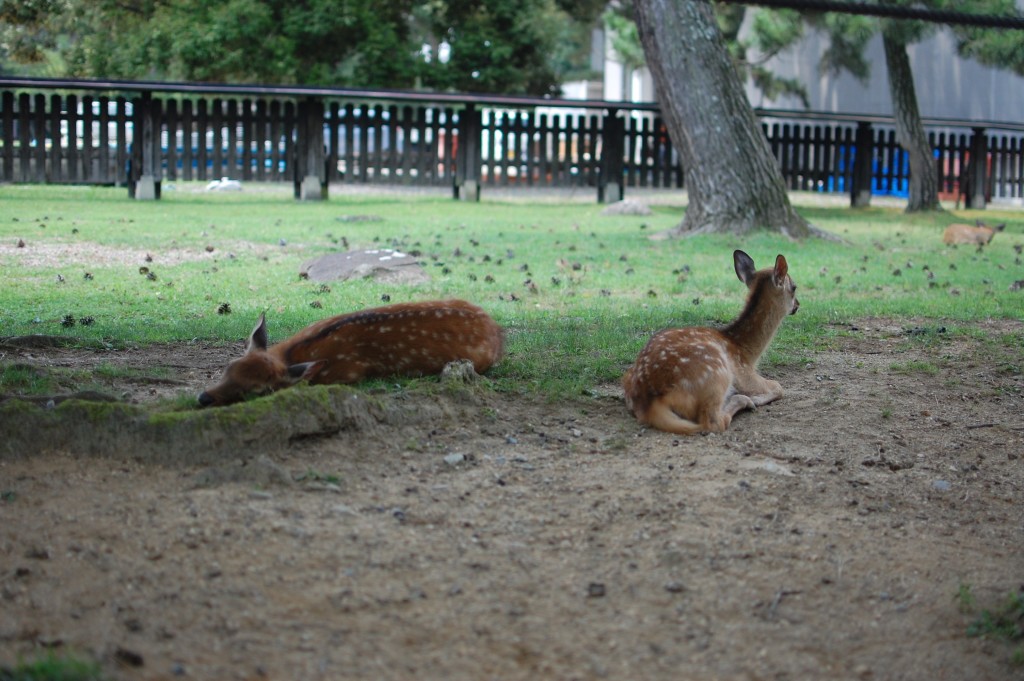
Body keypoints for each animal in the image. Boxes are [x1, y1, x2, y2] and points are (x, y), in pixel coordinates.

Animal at [622, 250, 798, 436]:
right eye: (794, 287)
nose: (798, 305)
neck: (746, 352)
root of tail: (649, 403)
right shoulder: (743, 373)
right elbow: (778, 386)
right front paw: (756, 398)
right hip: (717, 373)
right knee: (713, 422)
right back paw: (744, 401)